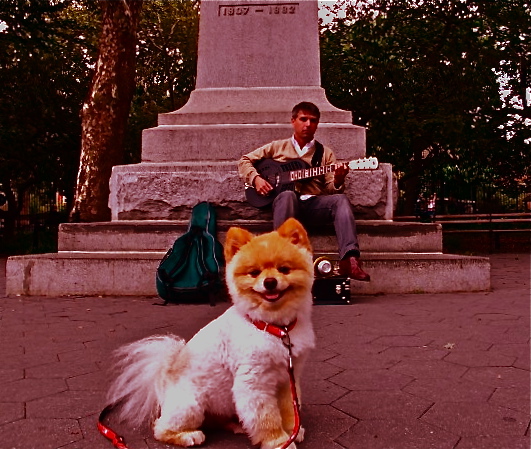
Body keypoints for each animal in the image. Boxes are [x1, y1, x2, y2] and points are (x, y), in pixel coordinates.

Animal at [106, 218, 315, 448]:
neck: (274, 328)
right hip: (191, 406)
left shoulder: (288, 378)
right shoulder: (255, 383)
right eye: (254, 273)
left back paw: (236, 425)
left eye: (284, 269)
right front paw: (278, 441)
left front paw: (293, 430)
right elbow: (267, 417)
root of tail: (165, 378)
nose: (269, 282)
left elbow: (289, 409)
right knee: (161, 428)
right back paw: (189, 435)